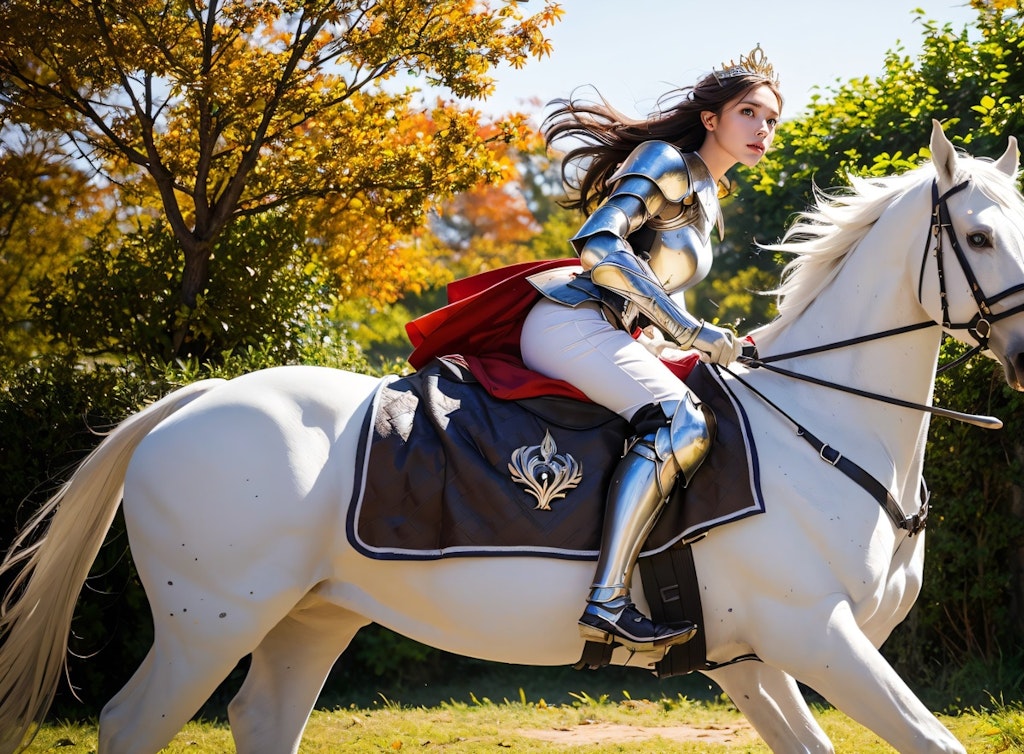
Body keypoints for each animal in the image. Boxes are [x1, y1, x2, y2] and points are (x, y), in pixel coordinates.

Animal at [2, 120, 1024, 749]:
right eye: (977, 238)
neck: (824, 427)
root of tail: (196, 398)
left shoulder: (753, 663)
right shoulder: (815, 639)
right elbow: (931, 739)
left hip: (311, 618)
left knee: (263, 721)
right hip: (207, 625)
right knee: (132, 724)